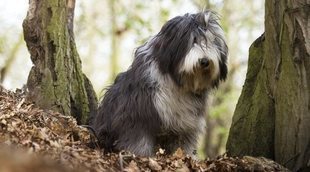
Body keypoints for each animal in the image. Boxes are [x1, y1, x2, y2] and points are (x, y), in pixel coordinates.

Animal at [89, 10, 228, 157]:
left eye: (213, 41)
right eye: (193, 40)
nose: (205, 61)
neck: (177, 83)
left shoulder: (187, 121)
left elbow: (184, 143)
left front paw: (187, 156)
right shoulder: (138, 112)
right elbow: (138, 139)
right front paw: (140, 155)